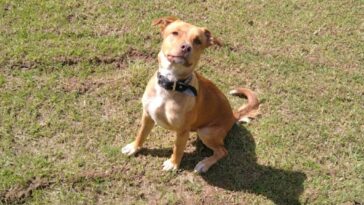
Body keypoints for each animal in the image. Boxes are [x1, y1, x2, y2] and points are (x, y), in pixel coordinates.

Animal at [121, 16, 258, 173]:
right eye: (175, 33)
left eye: (197, 41)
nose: (186, 47)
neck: (171, 85)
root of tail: (232, 115)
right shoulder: (147, 116)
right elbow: (141, 134)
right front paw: (134, 147)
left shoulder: (182, 130)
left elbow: (178, 148)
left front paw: (173, 164)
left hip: (206, 132)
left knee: (223, 151)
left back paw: (204, 164)